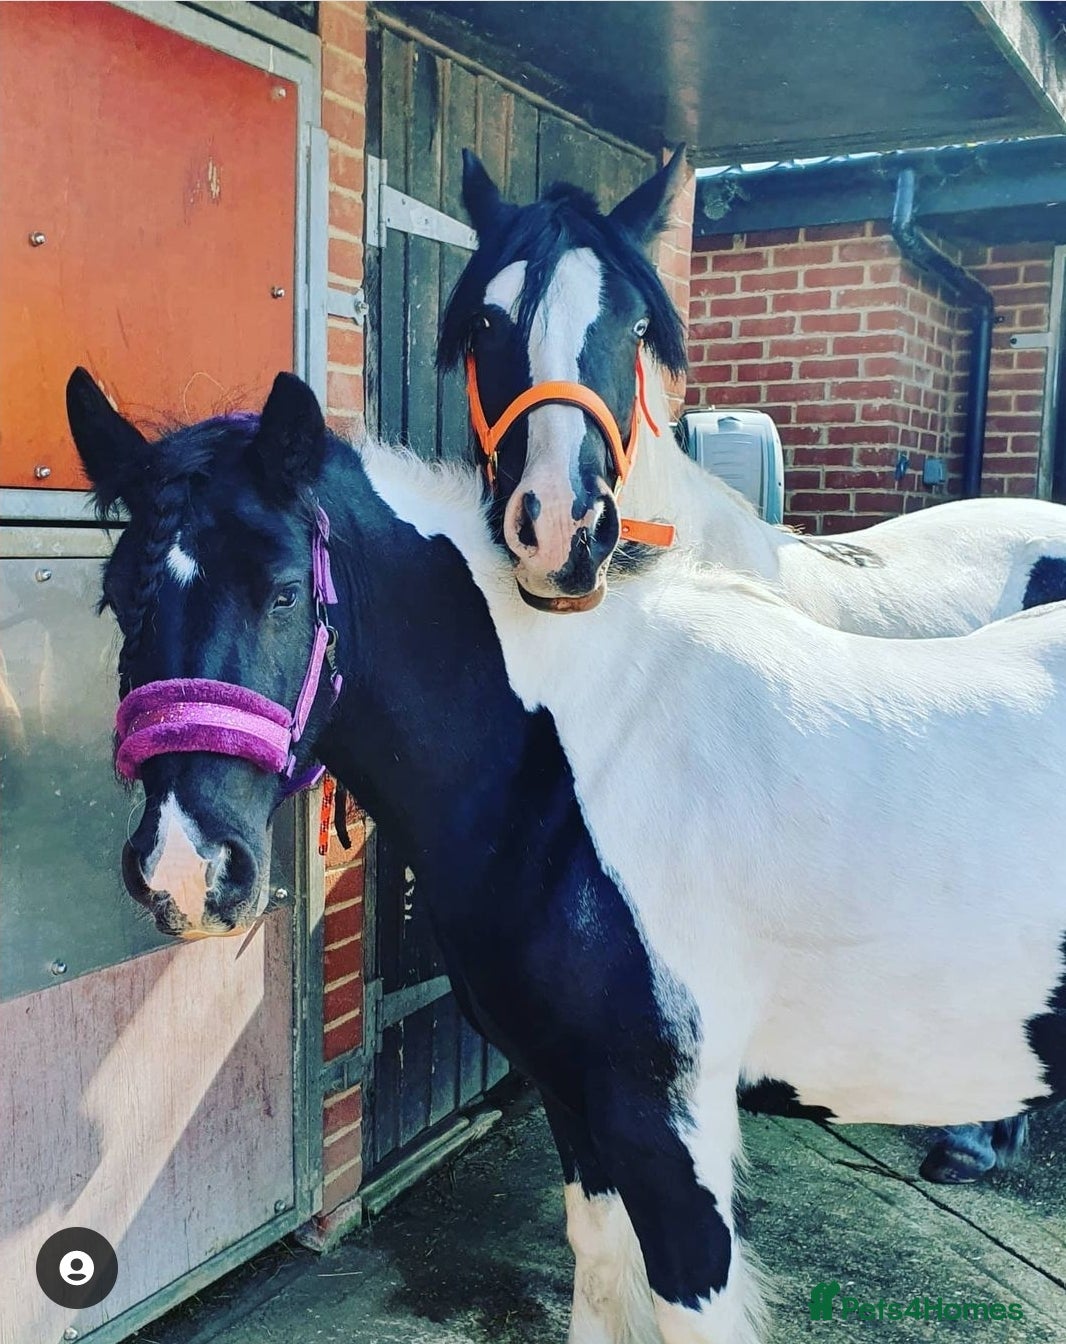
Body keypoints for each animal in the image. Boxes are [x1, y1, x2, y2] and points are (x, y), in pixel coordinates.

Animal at [68, 370, 1066, 1344]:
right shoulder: (575, 1103)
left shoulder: (670, 1129)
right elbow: (599, 1270)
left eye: (282, 591)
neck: (585, 768)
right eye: (117, 598)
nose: (186, 871)